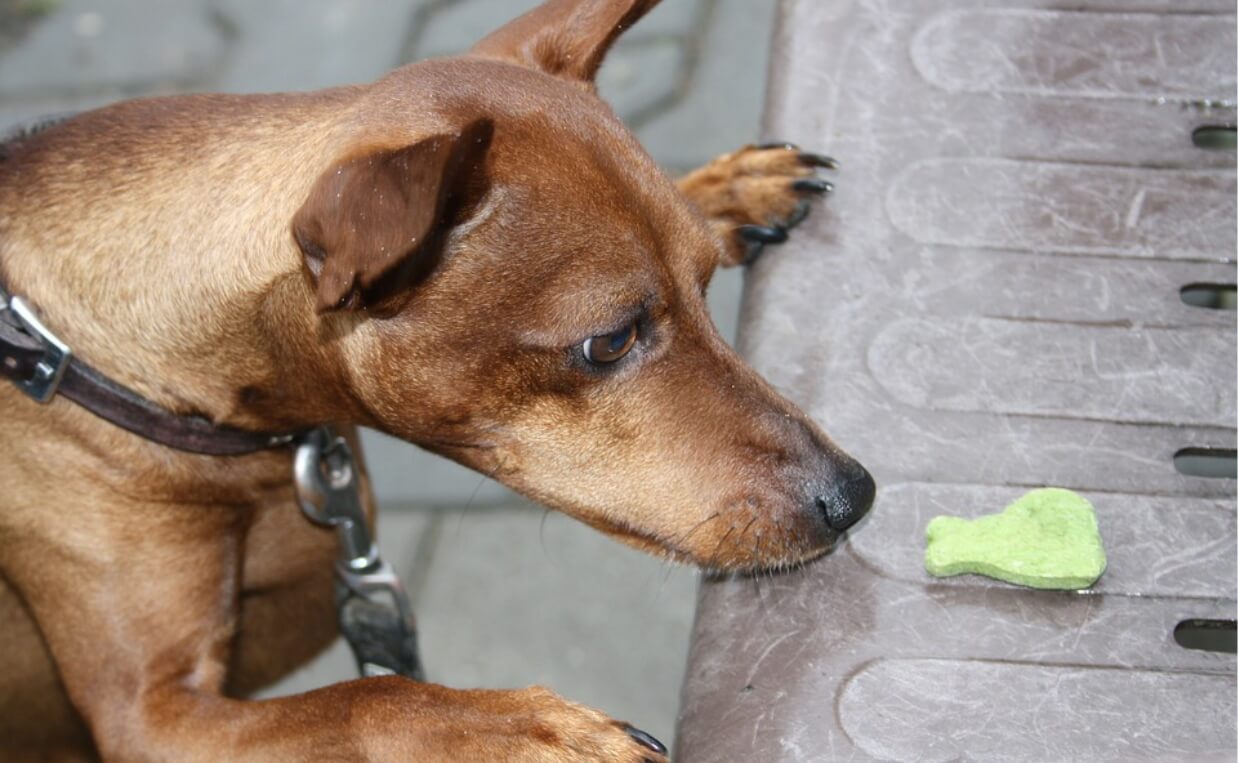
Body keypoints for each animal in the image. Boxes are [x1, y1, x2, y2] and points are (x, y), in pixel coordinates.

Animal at [0, 2, 871, 758]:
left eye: (704, 280)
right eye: (610, 341)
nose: (853, 494)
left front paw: (724, 187)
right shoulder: (149, 713)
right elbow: (369, 695)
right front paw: (529, 729)